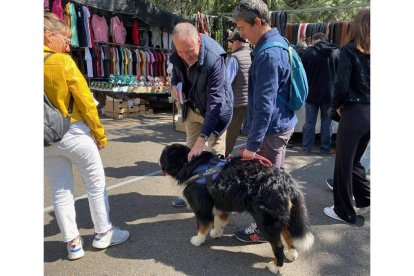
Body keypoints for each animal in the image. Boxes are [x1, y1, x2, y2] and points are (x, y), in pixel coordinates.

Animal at [159, 143, 314, 274]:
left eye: (164, 156)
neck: (192, 166)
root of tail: (287, 182)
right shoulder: (220, 202)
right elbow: (220, 220)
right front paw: (216, 233)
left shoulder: (202, 207)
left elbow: (202, 225)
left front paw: (198, 240)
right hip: (280, 216)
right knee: (288, 234)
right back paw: (292, 254)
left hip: (265, 220)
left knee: (278, 246)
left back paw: (276, 266)